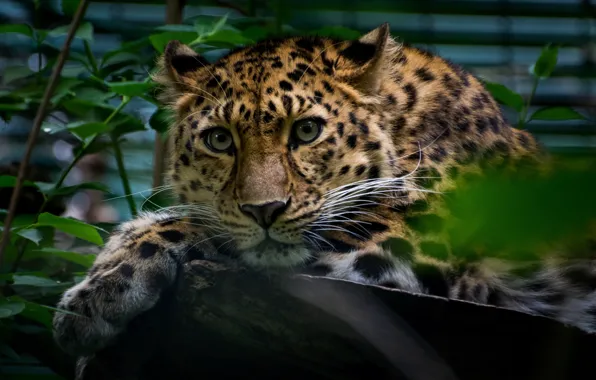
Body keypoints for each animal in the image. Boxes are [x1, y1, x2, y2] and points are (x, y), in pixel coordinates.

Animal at [52, 23, 596, 356]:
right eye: (219, 140)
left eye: (307, 131)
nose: (264, 210)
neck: (406, 125)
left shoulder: (402, 240)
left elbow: (203, 229)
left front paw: (100, 290)